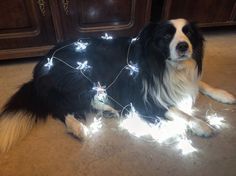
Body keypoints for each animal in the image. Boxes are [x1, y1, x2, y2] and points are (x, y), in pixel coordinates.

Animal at [0, 18, 235, 151]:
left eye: (188, 33)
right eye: (167, 35)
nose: (183, 46)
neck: (162, 64)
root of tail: (41, 66)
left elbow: (200, 83)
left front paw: (223, 94)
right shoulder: (142, 98)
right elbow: (177, 111)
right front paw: (202, 125)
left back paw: (107, 109)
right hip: (80, 74)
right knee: (61, 107)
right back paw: (78, 127)